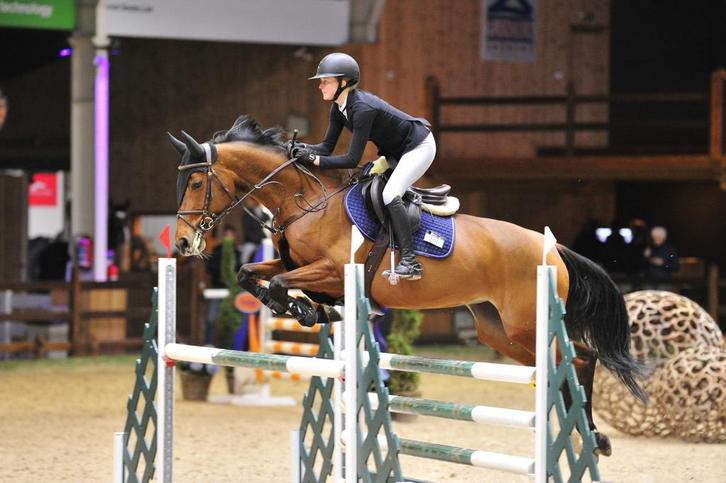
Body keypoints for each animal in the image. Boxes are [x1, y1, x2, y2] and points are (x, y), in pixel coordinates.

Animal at [169, 116, 646, 457]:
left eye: (196, 181)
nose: (183, 243)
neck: (306, 201)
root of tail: (554, 247)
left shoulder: (333, 269)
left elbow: (283, 283)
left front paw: (306, 308)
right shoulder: (297, 264)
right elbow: (249, 273)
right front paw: (310, 308)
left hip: (526, 323)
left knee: (580, 358)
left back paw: (591, 435)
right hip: (501, 331)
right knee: (572, 360)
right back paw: (586, 435)